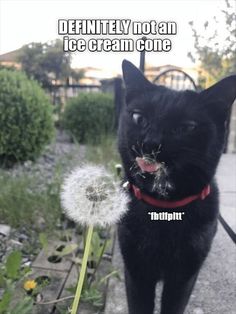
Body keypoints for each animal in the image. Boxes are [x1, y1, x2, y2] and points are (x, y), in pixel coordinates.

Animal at [118, 60, 236, 314]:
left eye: (186, 128)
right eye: (139, 118)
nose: (150, 143)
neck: (163, 210)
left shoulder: (183, 278)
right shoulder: (136, 272)